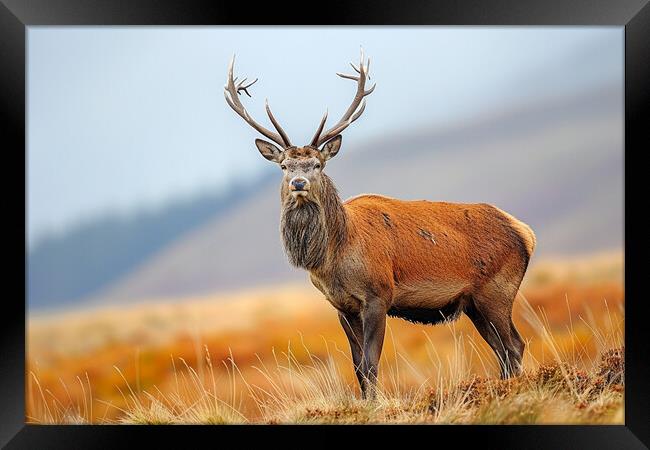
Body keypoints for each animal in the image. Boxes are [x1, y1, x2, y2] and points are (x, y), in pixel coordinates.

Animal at [223, 51, 532, 400]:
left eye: (317, 164)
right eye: (285, 166)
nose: (298, 183)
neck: (335, 256)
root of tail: (524, 232)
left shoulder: (378, 295)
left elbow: (371, 362)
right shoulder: (342, 306)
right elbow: (358, 366)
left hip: (496, 291)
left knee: (514, 345)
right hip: (474, 304)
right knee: (503, 349)